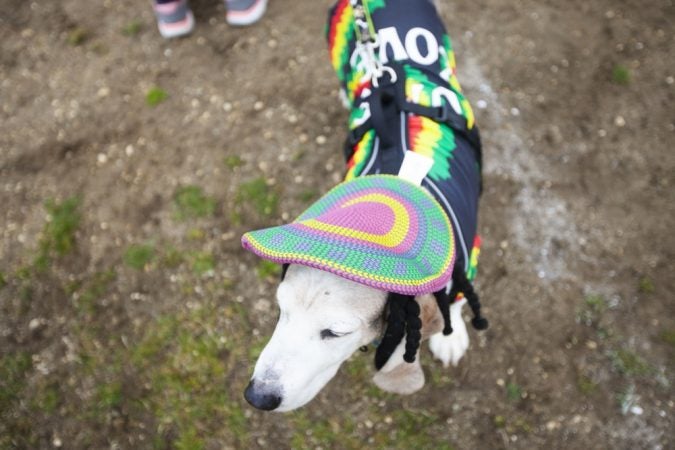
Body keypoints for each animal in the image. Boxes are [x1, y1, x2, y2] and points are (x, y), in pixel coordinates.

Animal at [243, 0, 486, 412]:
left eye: (334, 332)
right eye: (280, 310)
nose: (257, 397)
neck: (403, 176)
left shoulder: (468, 257)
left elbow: (454, 301)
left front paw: (449, 337)